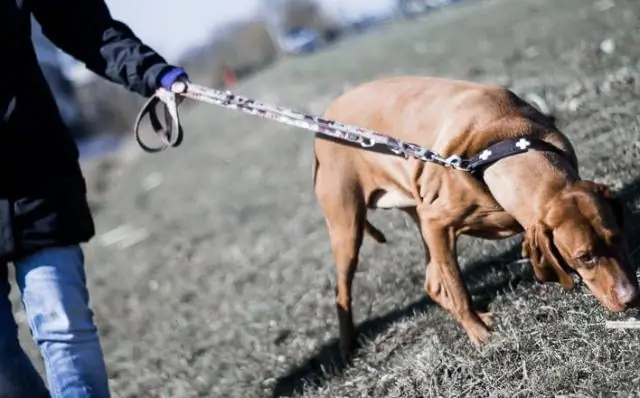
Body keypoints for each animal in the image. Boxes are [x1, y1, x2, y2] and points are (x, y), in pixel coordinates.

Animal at [312, 76, 636, 356]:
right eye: (585, 257)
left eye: (617, 238)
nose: (632, 298)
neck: (509, 146)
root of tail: (326, 118)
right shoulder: (436, 223)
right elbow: (457, 287)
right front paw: (479, 333)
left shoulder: (433, 223)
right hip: (348, 227)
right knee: (343, 291)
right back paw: (348, 346)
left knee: (432, 282)